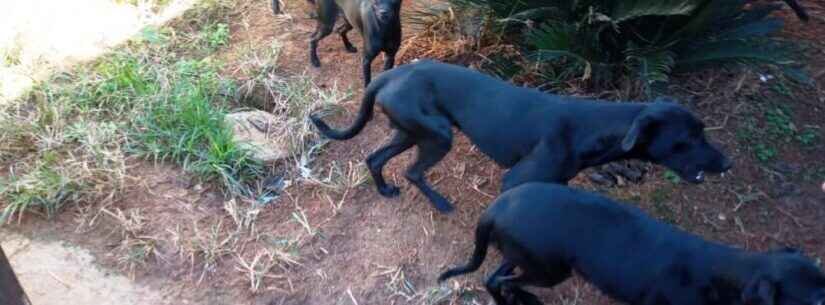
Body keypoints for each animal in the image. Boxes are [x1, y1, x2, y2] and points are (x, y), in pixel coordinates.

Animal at [310, 59, 732, 211]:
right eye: (686, 140)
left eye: (703, 131)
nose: (727, 163)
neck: (594, 127)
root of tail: (386, 75)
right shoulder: (515, 181)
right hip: (436, 137)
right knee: (413, 171)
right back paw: (441, 204)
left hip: (411, 133)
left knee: (375, 158)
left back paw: (384, 190)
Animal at [440, 183, 824, 304]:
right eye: (817, 300)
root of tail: (495, 206)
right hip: (549, 269)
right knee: (500, 281)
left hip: (529, 257)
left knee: (495, 277)